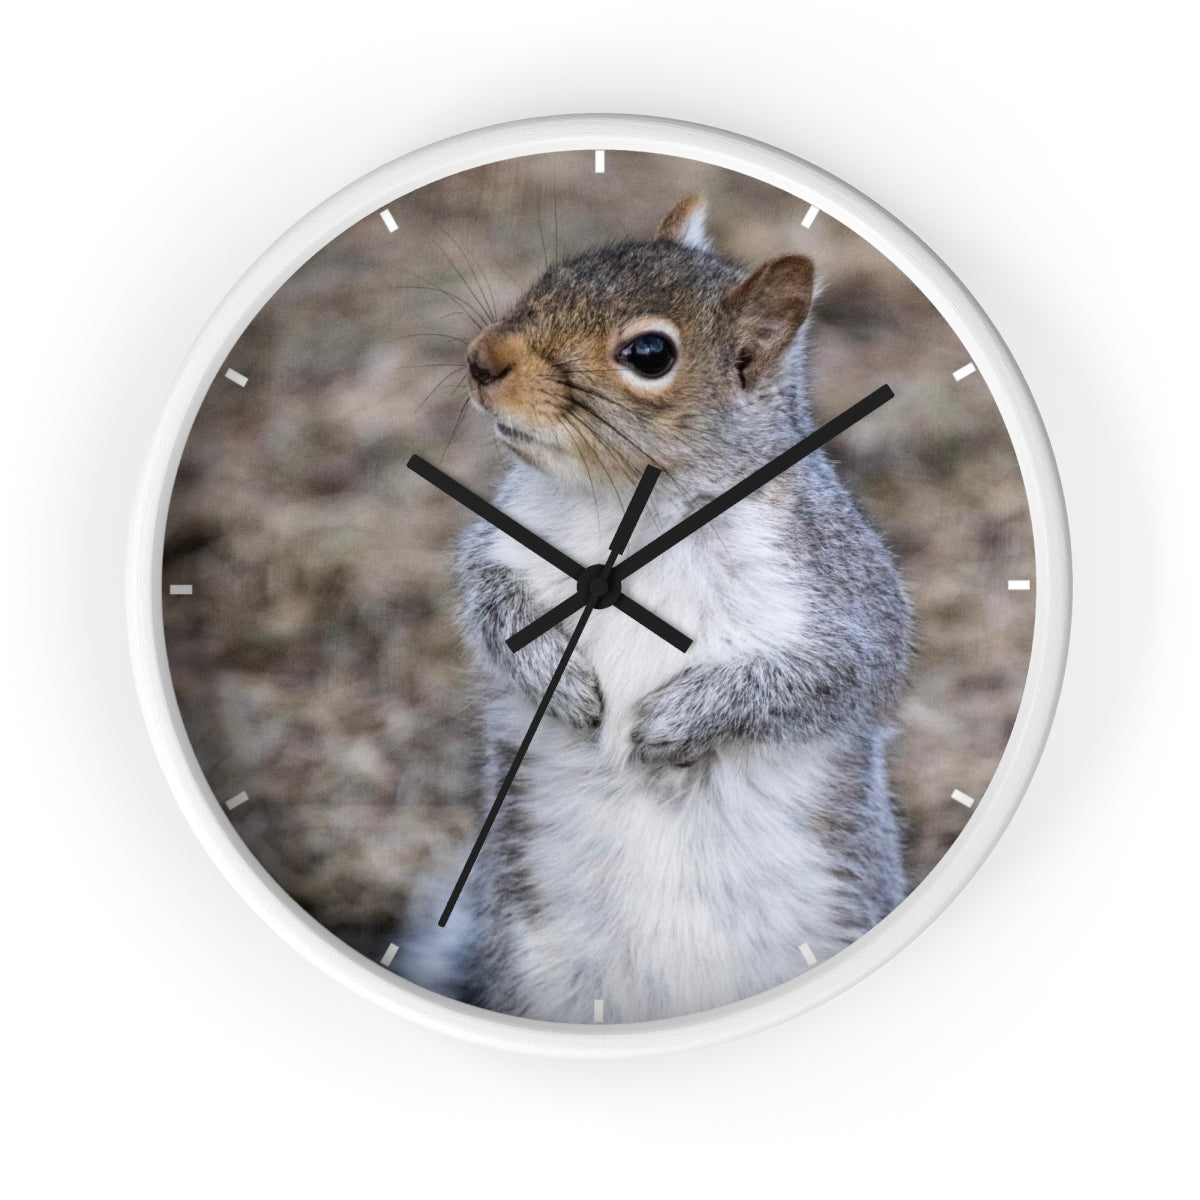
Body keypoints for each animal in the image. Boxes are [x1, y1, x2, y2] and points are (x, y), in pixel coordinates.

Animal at [440, 196, 913, 1023]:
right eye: (551, 276)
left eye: (650, 354)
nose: (482, 358)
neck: (632, 503)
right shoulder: (501, 542)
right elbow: (487, 602)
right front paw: (558, 681)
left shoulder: (841, 591)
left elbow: (834, 676)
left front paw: (676, 722)